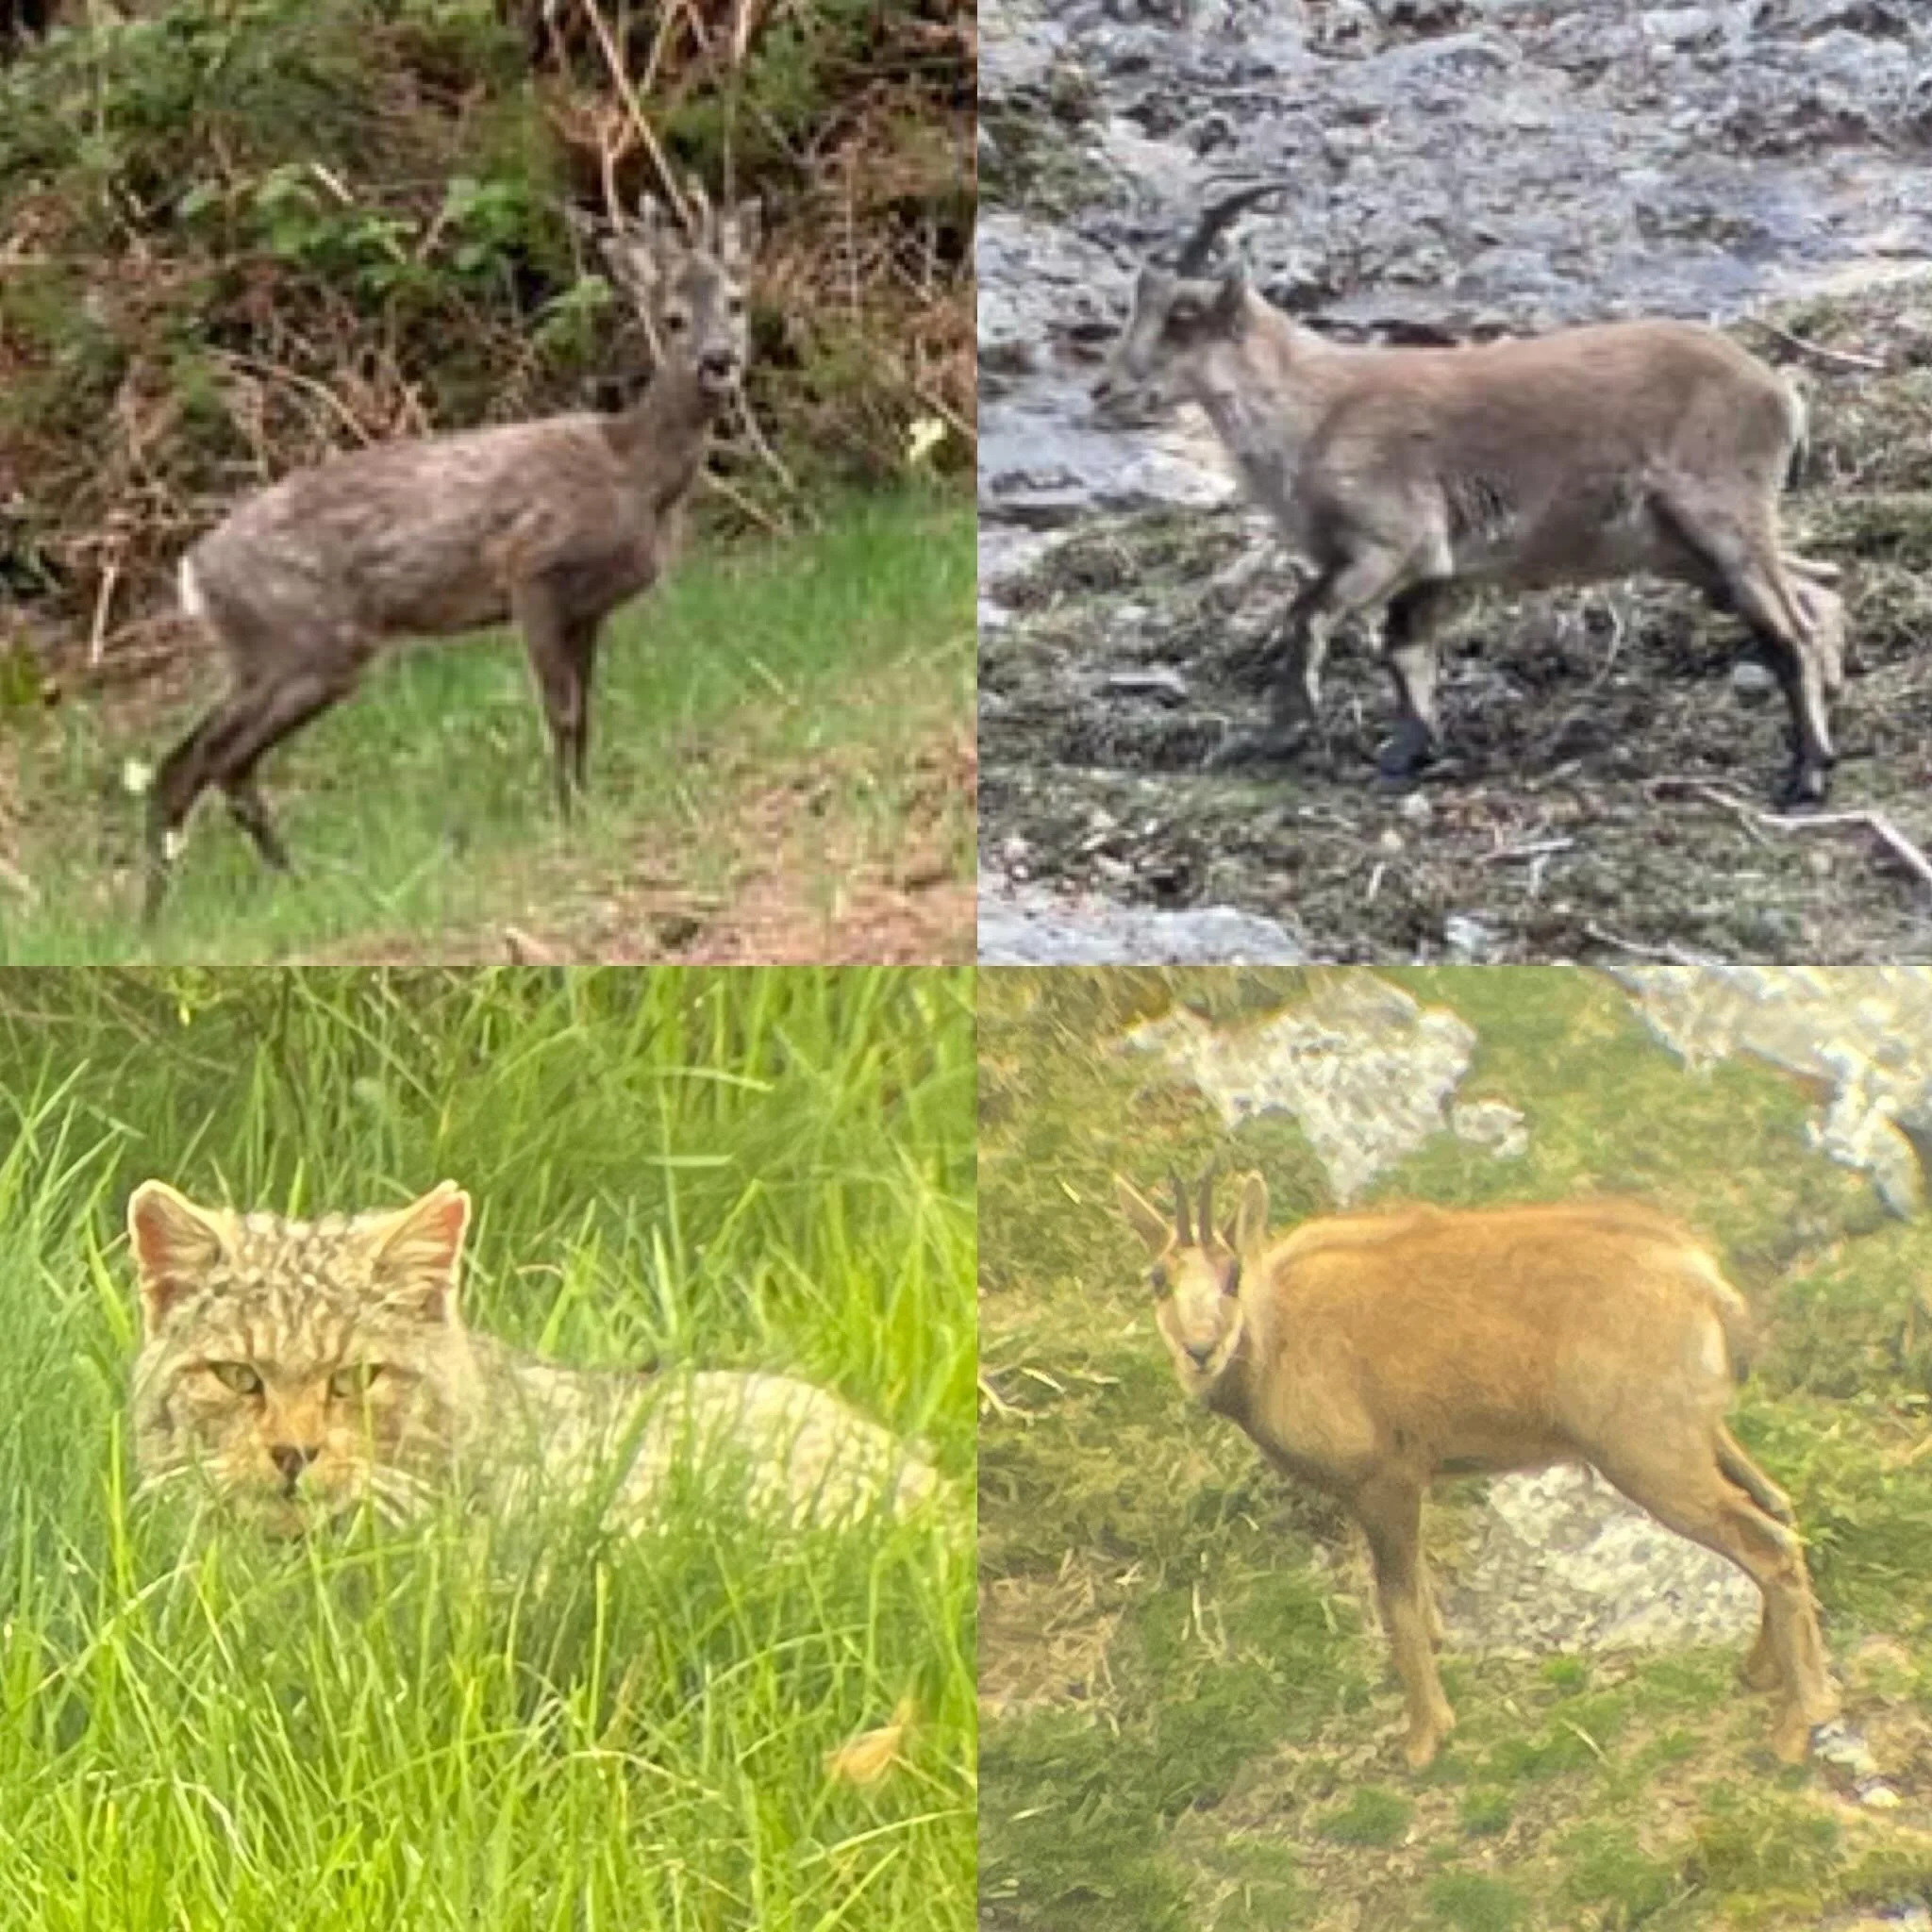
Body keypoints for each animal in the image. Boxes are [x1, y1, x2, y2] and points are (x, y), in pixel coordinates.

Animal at [141, 182, 759, 920]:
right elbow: (561, 710)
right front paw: (566, 819)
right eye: (672, 319)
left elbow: (586, 713)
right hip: (304, 642)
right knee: (196, 759)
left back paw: (265, 887)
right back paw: (162, 913)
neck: (634, 474)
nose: (719, 360)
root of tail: (193, 574)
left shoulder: (590, 608)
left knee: (212, 761)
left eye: (737, 302)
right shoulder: (532, 569)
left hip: (272, 656)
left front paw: (584, 806)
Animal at [1091, 182, 1847, 808]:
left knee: (1791, 628)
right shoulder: (1430, 567)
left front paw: (1286, 732)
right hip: (1687, 549)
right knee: (1817, 594)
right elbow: (1406, 650)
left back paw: (1806, 776)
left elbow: (1308, 617)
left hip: (1722, 515)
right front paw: (1407, 753)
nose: (1104, 390)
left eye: (1183, 314)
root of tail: (1778, 392)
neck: (1316, 411)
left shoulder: (1386, 545)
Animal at [1116, 1170, 1839, 1771]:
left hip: (1648, 1453)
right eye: (1157, 1277)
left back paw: (1797, 1724)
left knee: (1766, 1544)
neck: (1278, 1339)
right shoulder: (1409, 1478)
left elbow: (1399, 1604)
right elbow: (1420, 1601)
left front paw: (1423, 1738)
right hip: (1699, 1437)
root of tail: (1707, 1285)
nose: (1201, 1351)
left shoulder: (1384, 1480)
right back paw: (1764, 1674)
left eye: (1232, 1273)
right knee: (1777, 1508)